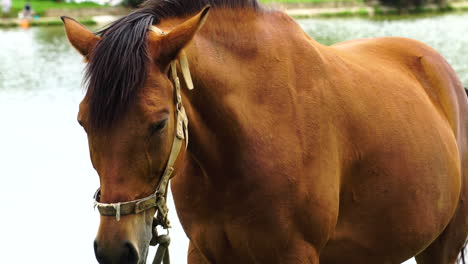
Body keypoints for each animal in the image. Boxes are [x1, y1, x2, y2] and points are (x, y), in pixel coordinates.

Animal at [60, 1, 466, 262]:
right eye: (83, 121)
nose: (114, 250)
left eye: (158, 122)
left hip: (441, 245)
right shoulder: (203, 251)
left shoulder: (295, 254)